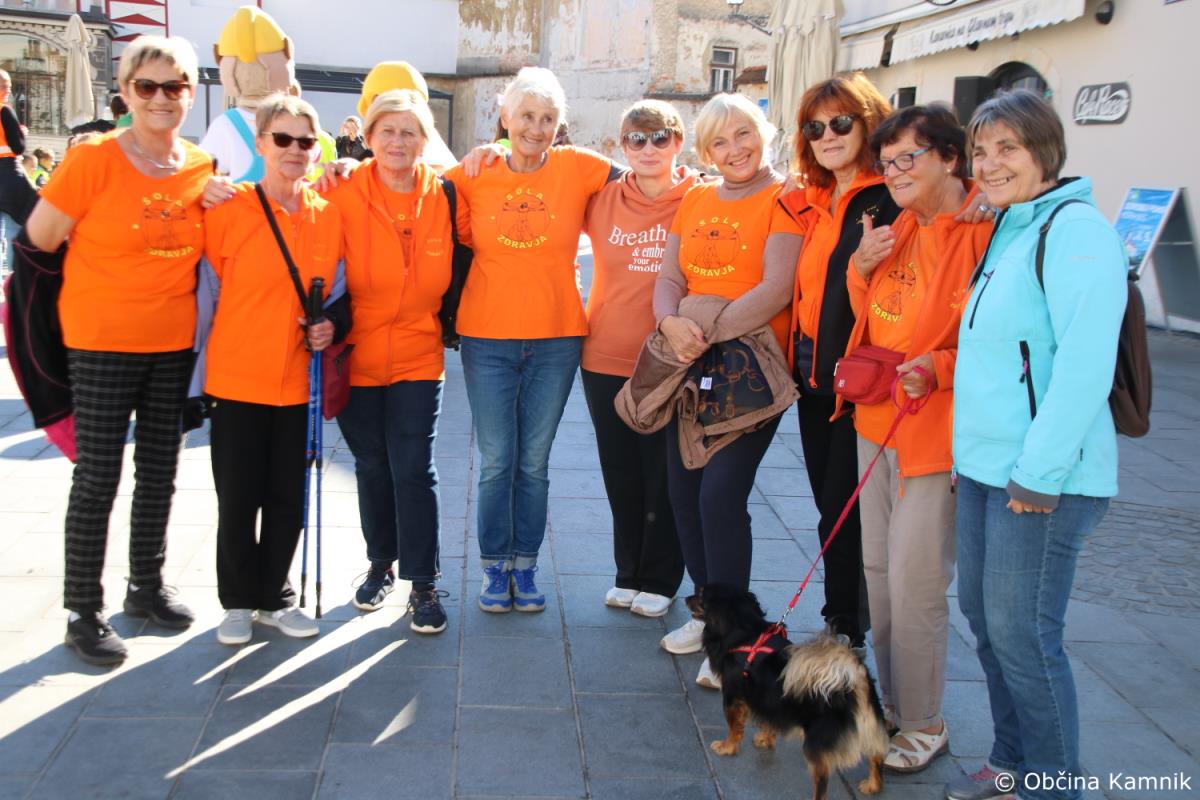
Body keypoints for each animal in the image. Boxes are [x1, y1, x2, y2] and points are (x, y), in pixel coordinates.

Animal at [687, 584, 888, 800]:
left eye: (700, 595)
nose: (686, 598)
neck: (745, 633)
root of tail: (853, 677)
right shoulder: (768, 699)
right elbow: (769, 722)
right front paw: (765, 740)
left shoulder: (733, 696)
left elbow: (734, 727)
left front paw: (727, 747)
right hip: (870, 727)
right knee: (876, 756)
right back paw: (873, 786)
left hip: (816, 742)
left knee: (822, 780)